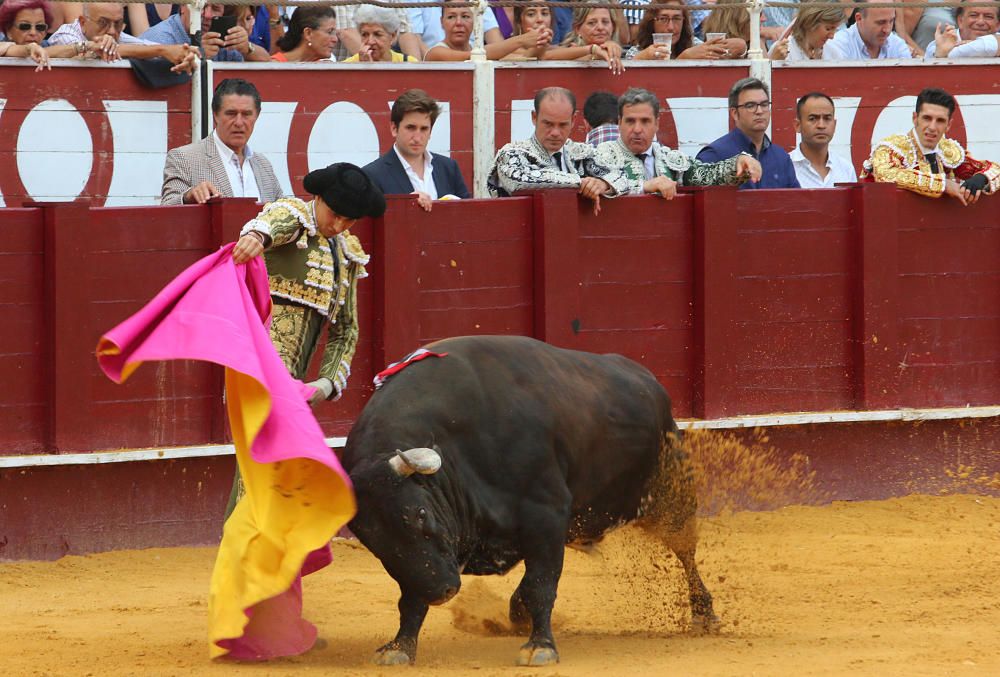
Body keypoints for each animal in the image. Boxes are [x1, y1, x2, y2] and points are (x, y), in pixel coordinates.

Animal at [344, 336, 720, 664]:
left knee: (686, 552)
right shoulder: (421, 562)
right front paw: (399, 647)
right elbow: (410, 597)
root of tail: (650, 381)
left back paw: (705, 614)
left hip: (671, 497)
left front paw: (540, 647)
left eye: (420, 513)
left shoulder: (546, 515)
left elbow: (542, 583)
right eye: (374, 543)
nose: (442, 591)